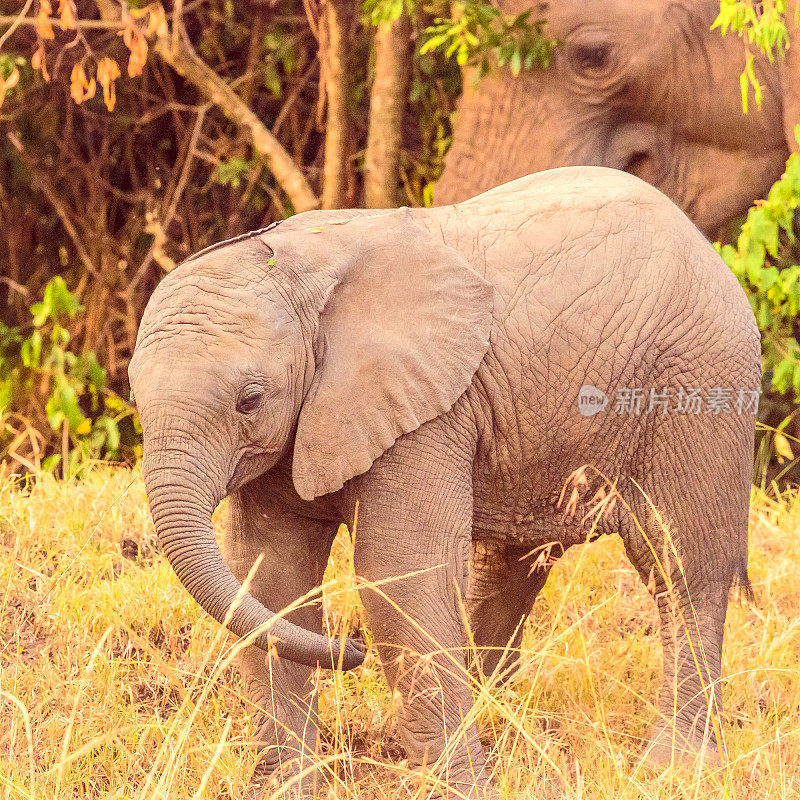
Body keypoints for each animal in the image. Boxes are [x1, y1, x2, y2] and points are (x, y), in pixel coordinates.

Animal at [128, 166, 760, 796]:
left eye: (249, 400)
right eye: (135, 398)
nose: (349, 650)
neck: (300, 269)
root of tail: (706, 247)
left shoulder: (426, 413)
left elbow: (399, 576)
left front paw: (464, 788)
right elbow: (270, 576)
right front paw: (291, 786)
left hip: (697, 389)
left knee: (682, 571)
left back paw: (676, 769)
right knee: (510, 570)